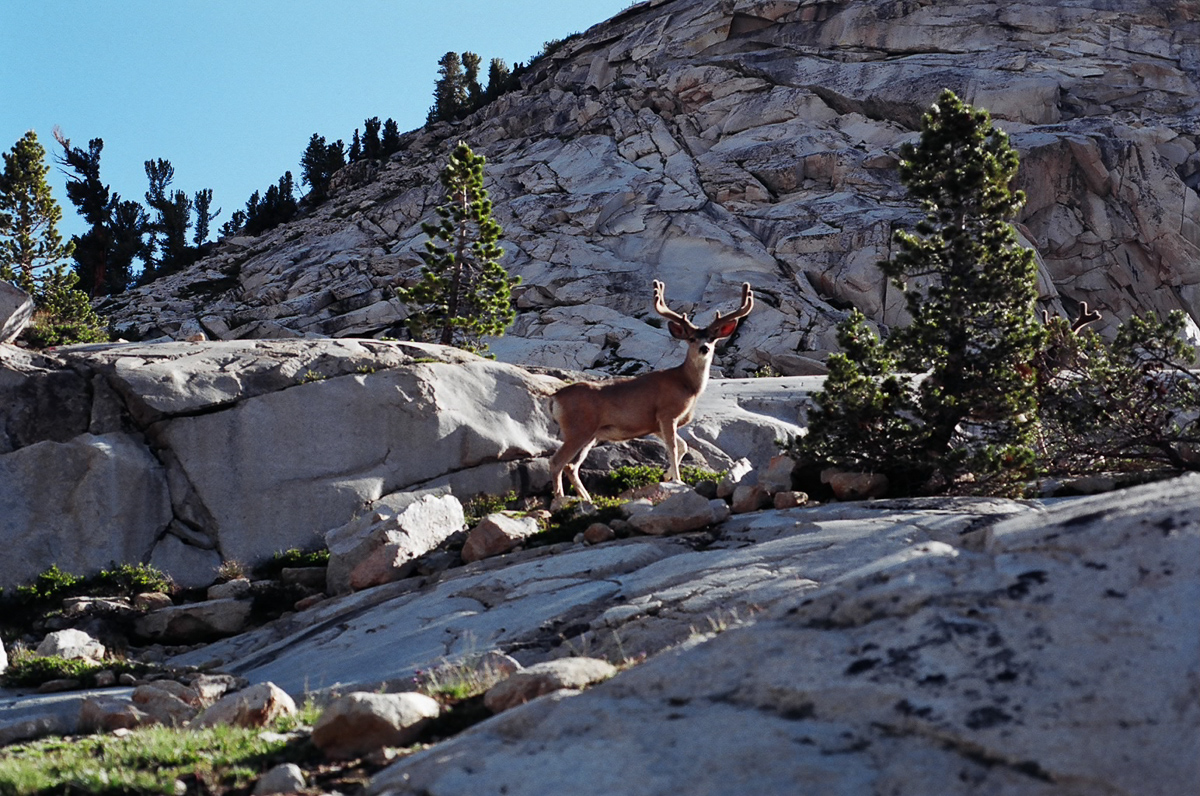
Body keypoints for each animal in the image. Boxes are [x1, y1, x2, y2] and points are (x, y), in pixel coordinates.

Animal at [548, 280, 754, 502]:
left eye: (712, 338)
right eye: (691, 338)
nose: (704, 348)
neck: (686, 383)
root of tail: (555, 398)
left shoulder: (654, 424)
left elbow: (682, 446)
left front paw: (666, 475)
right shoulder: (666, 413)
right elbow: (673, 448)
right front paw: (677, 481)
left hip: (592, 434)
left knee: (571, 465)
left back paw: (587, 498)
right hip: (578, 428)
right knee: (556, 461)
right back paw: (561, 499)